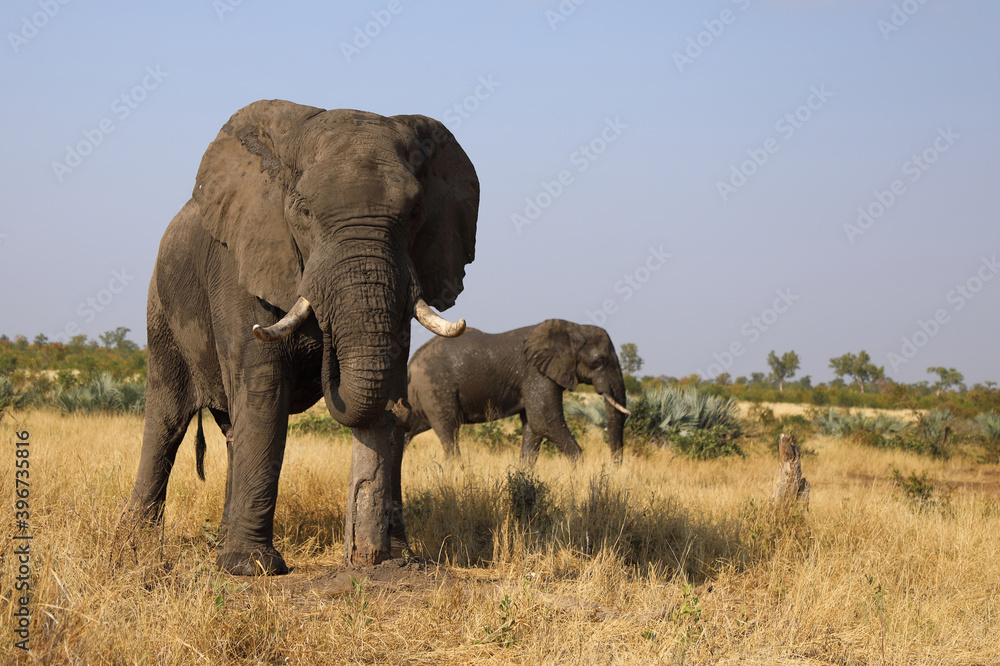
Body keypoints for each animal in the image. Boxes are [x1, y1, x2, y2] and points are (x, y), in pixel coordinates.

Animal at [128, 100, 479, 575]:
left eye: (414, 213)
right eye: (305, 212)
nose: (329, 356)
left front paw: (401, 559)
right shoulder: (240, 261)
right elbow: (265, 392)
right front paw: (251, 568)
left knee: (232, 430)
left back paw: (217, 540)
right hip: (161, 308)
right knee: (166, 419)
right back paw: (135, 546)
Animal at [405, 319, 630, 462]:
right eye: (599, 362)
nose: (613, 465)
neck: (572, 328)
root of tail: (411, 363)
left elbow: (533, 426)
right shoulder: (537, 373)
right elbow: (544, 421)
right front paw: (581, 468)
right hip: (435, 389)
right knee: (449, 430)